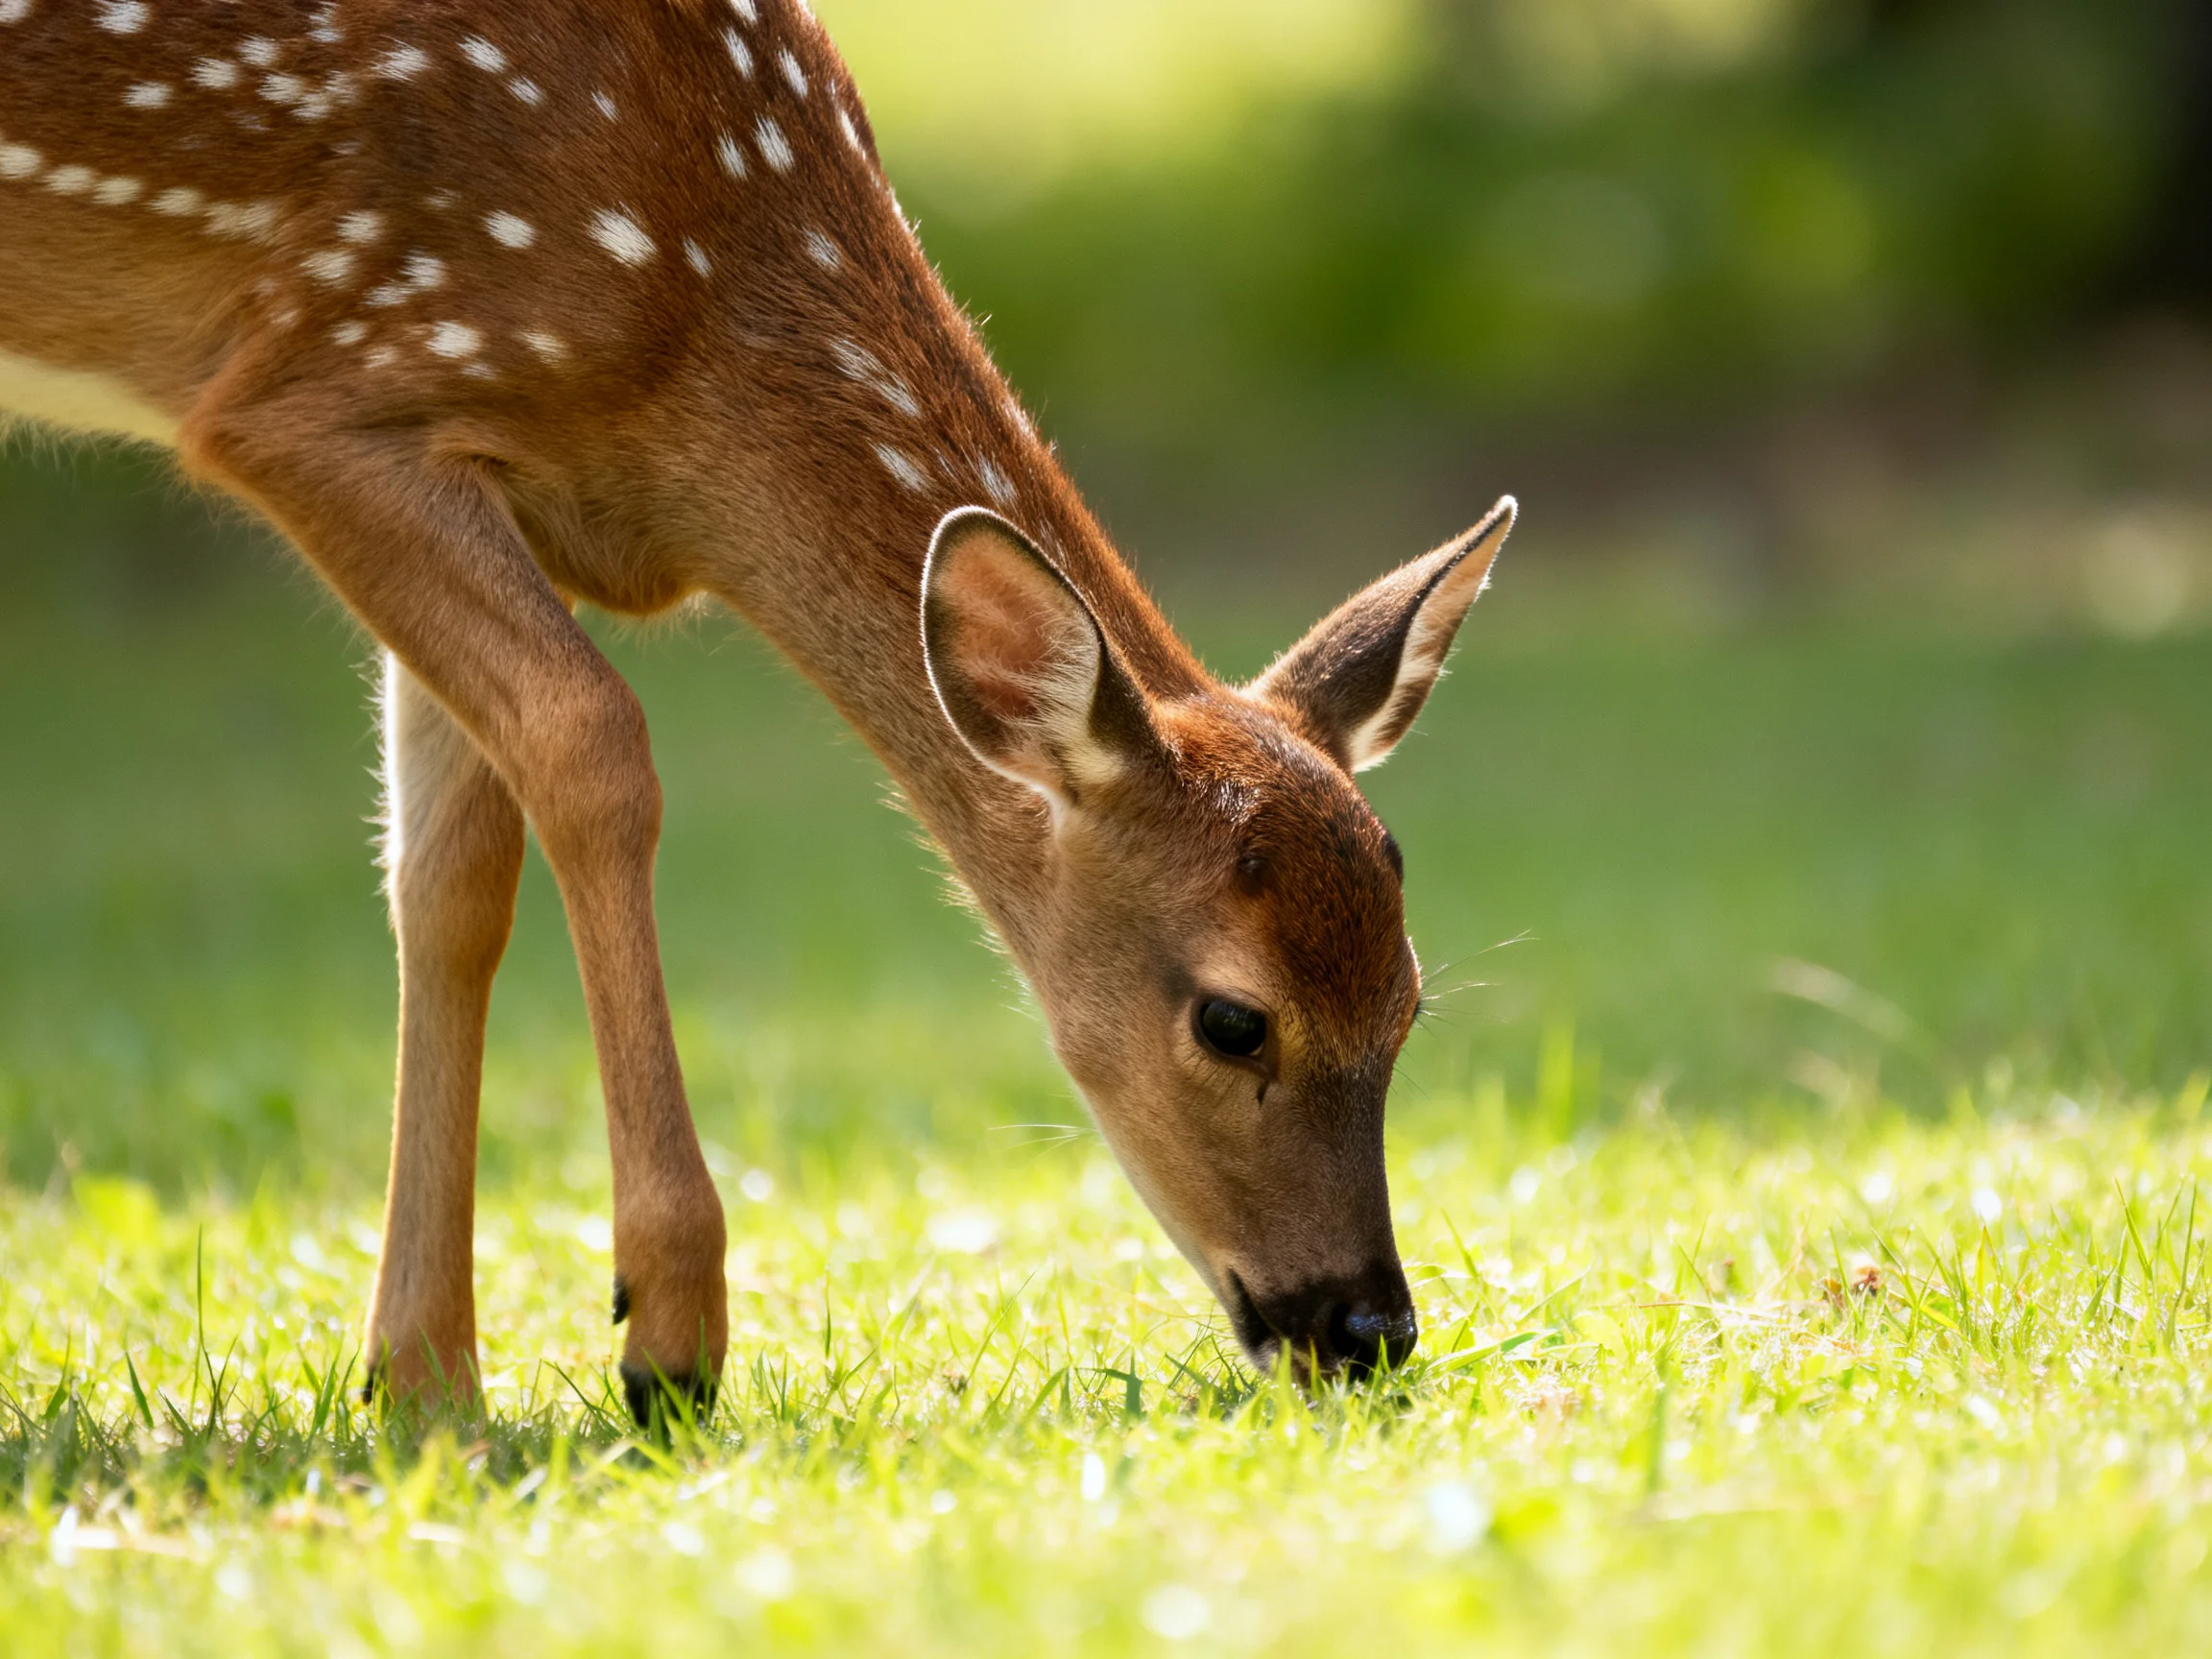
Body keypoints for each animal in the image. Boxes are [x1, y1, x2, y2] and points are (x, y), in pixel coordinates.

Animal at [0, 0, 1516, 1422]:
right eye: (1232, 1021)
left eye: (1410, 999)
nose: (1368, 1329)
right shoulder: (313, 389)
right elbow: (594, 745)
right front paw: (666, 1336)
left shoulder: (468, 468)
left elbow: (447, 881)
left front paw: (423, 1388)